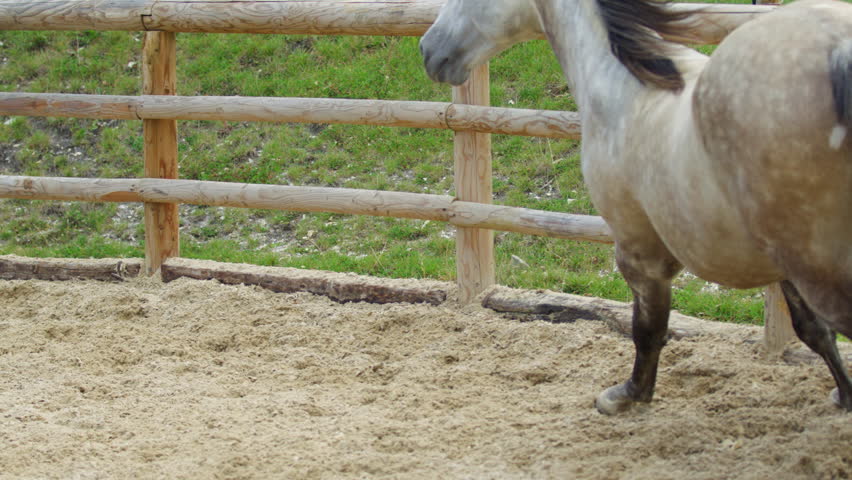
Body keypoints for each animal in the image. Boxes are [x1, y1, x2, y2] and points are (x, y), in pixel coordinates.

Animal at [420, 0, 852, 415]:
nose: (429, 50)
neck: (623, 91)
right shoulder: (781, 265)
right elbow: (812, 331)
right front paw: (844, 396)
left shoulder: (639, 250)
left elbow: (647, 329)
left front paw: (626, 396)